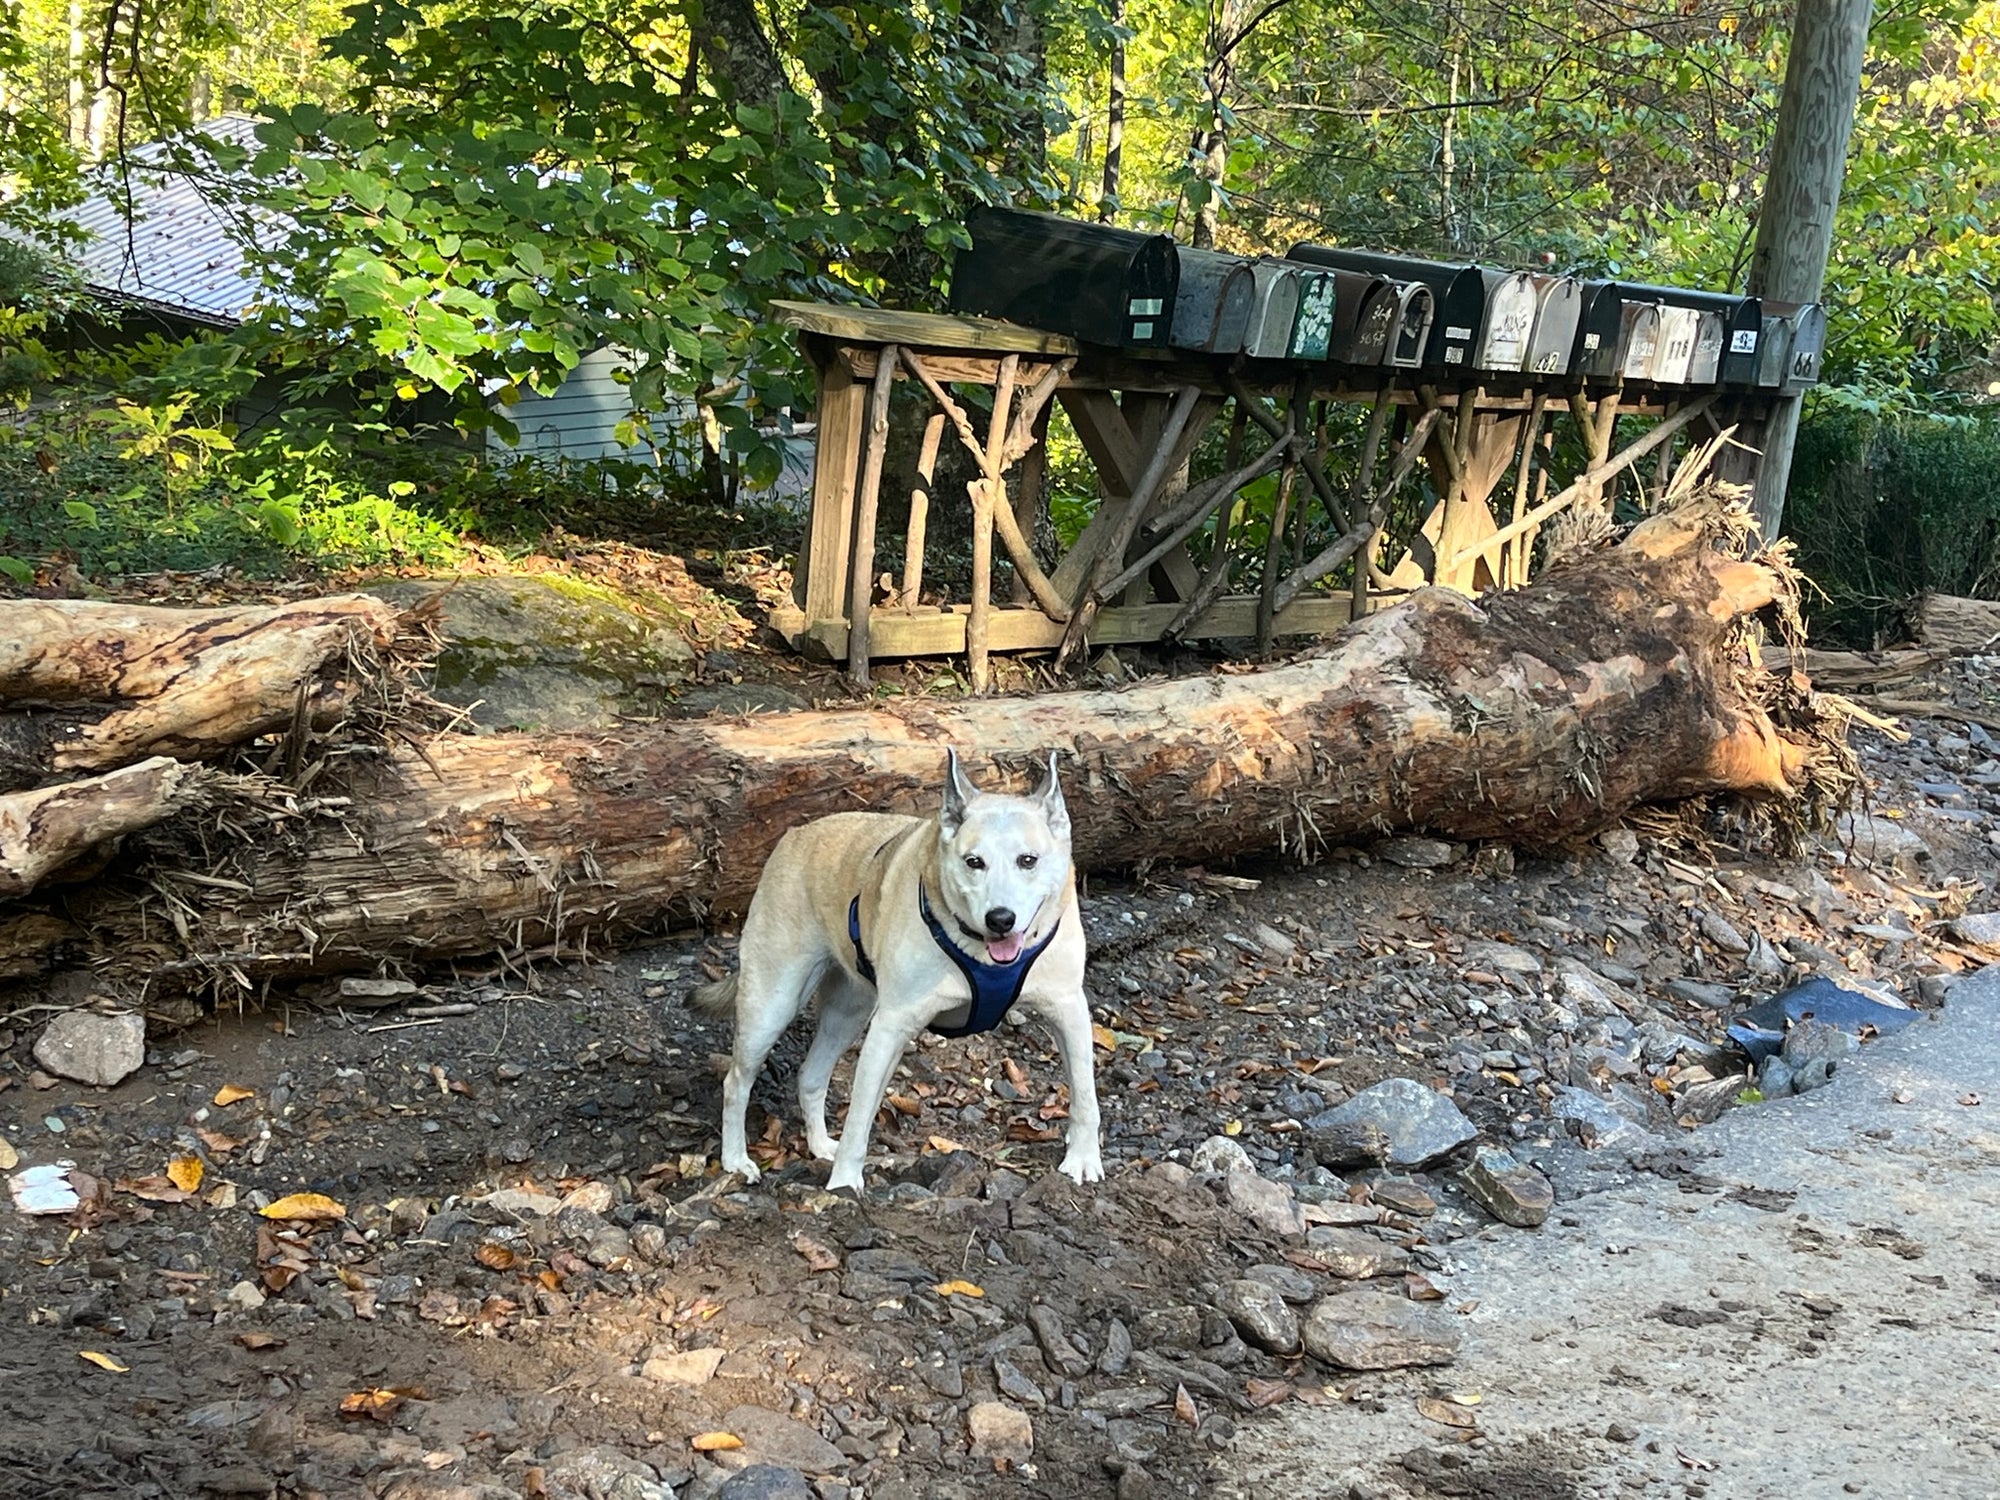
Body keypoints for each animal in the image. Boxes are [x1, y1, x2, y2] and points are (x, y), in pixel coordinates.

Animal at [692, 752, 1104, 1200]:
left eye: (1028, 860)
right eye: (973, 862)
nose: (1000, 919)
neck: (983, 955)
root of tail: (794, 836)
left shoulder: (1068, 1010)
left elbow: (1085, 1094)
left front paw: (1083, 1159)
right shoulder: (891, 1027)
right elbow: (859, 1117)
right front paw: (844, 1182)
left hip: (848, 1012)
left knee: (811, 1076)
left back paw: (819, 1145)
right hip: (773, 1004)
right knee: (737, 1082)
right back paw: (736, 1159)